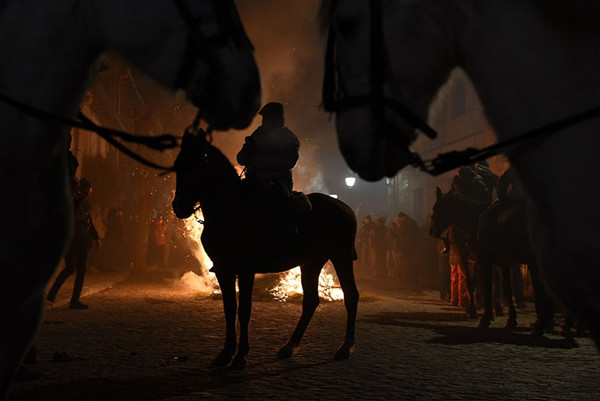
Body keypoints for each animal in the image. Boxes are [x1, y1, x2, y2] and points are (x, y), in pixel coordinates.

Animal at [171, 131, 358, 368]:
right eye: (178, 165)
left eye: (197, 165)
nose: (179, 207)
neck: (232, 211)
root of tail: (346, 208)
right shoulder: (224, 270)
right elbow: (229, 309)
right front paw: (225, 353)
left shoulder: (246, 270)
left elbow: (244, 310)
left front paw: (241, 356)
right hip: (311, 262)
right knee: (311, 301)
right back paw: (289, 346)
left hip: (341, 257)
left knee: (351, 296)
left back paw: (345, 347)